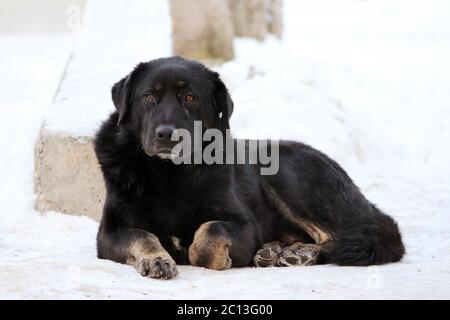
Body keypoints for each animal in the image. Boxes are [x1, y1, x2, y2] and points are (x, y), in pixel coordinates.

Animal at [94, 56, 404, 278]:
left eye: (190, 98)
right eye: (149, 96)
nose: (167, 135)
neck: (169, 173)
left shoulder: (244, 227)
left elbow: (209, 233)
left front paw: (210, 255)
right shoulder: (109, 231)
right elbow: (143, 235)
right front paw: (158, 259)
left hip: (286, 169)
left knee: (339, 238)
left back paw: (299, 253)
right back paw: (276, 251)